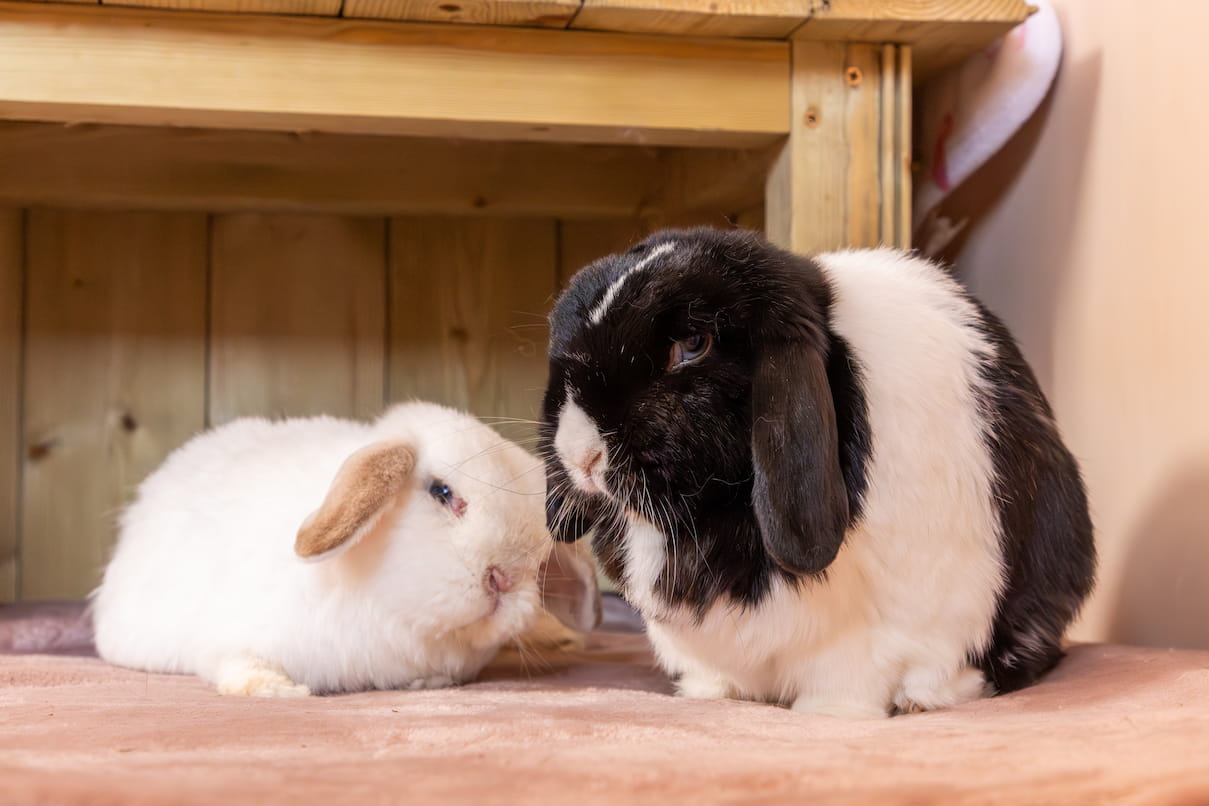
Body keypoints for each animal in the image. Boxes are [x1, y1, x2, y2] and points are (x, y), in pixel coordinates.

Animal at [92, 401, 600, 697]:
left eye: (541, 559)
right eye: (441, 492)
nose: (503, 581)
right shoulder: (230, 640)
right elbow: (239, 665)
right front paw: (278, 691)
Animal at [539, 227, 1095, 719]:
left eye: (693, 344)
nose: (583, 455)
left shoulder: (879, 634)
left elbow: (852, 678)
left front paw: (829, 714)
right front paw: (706, 697)